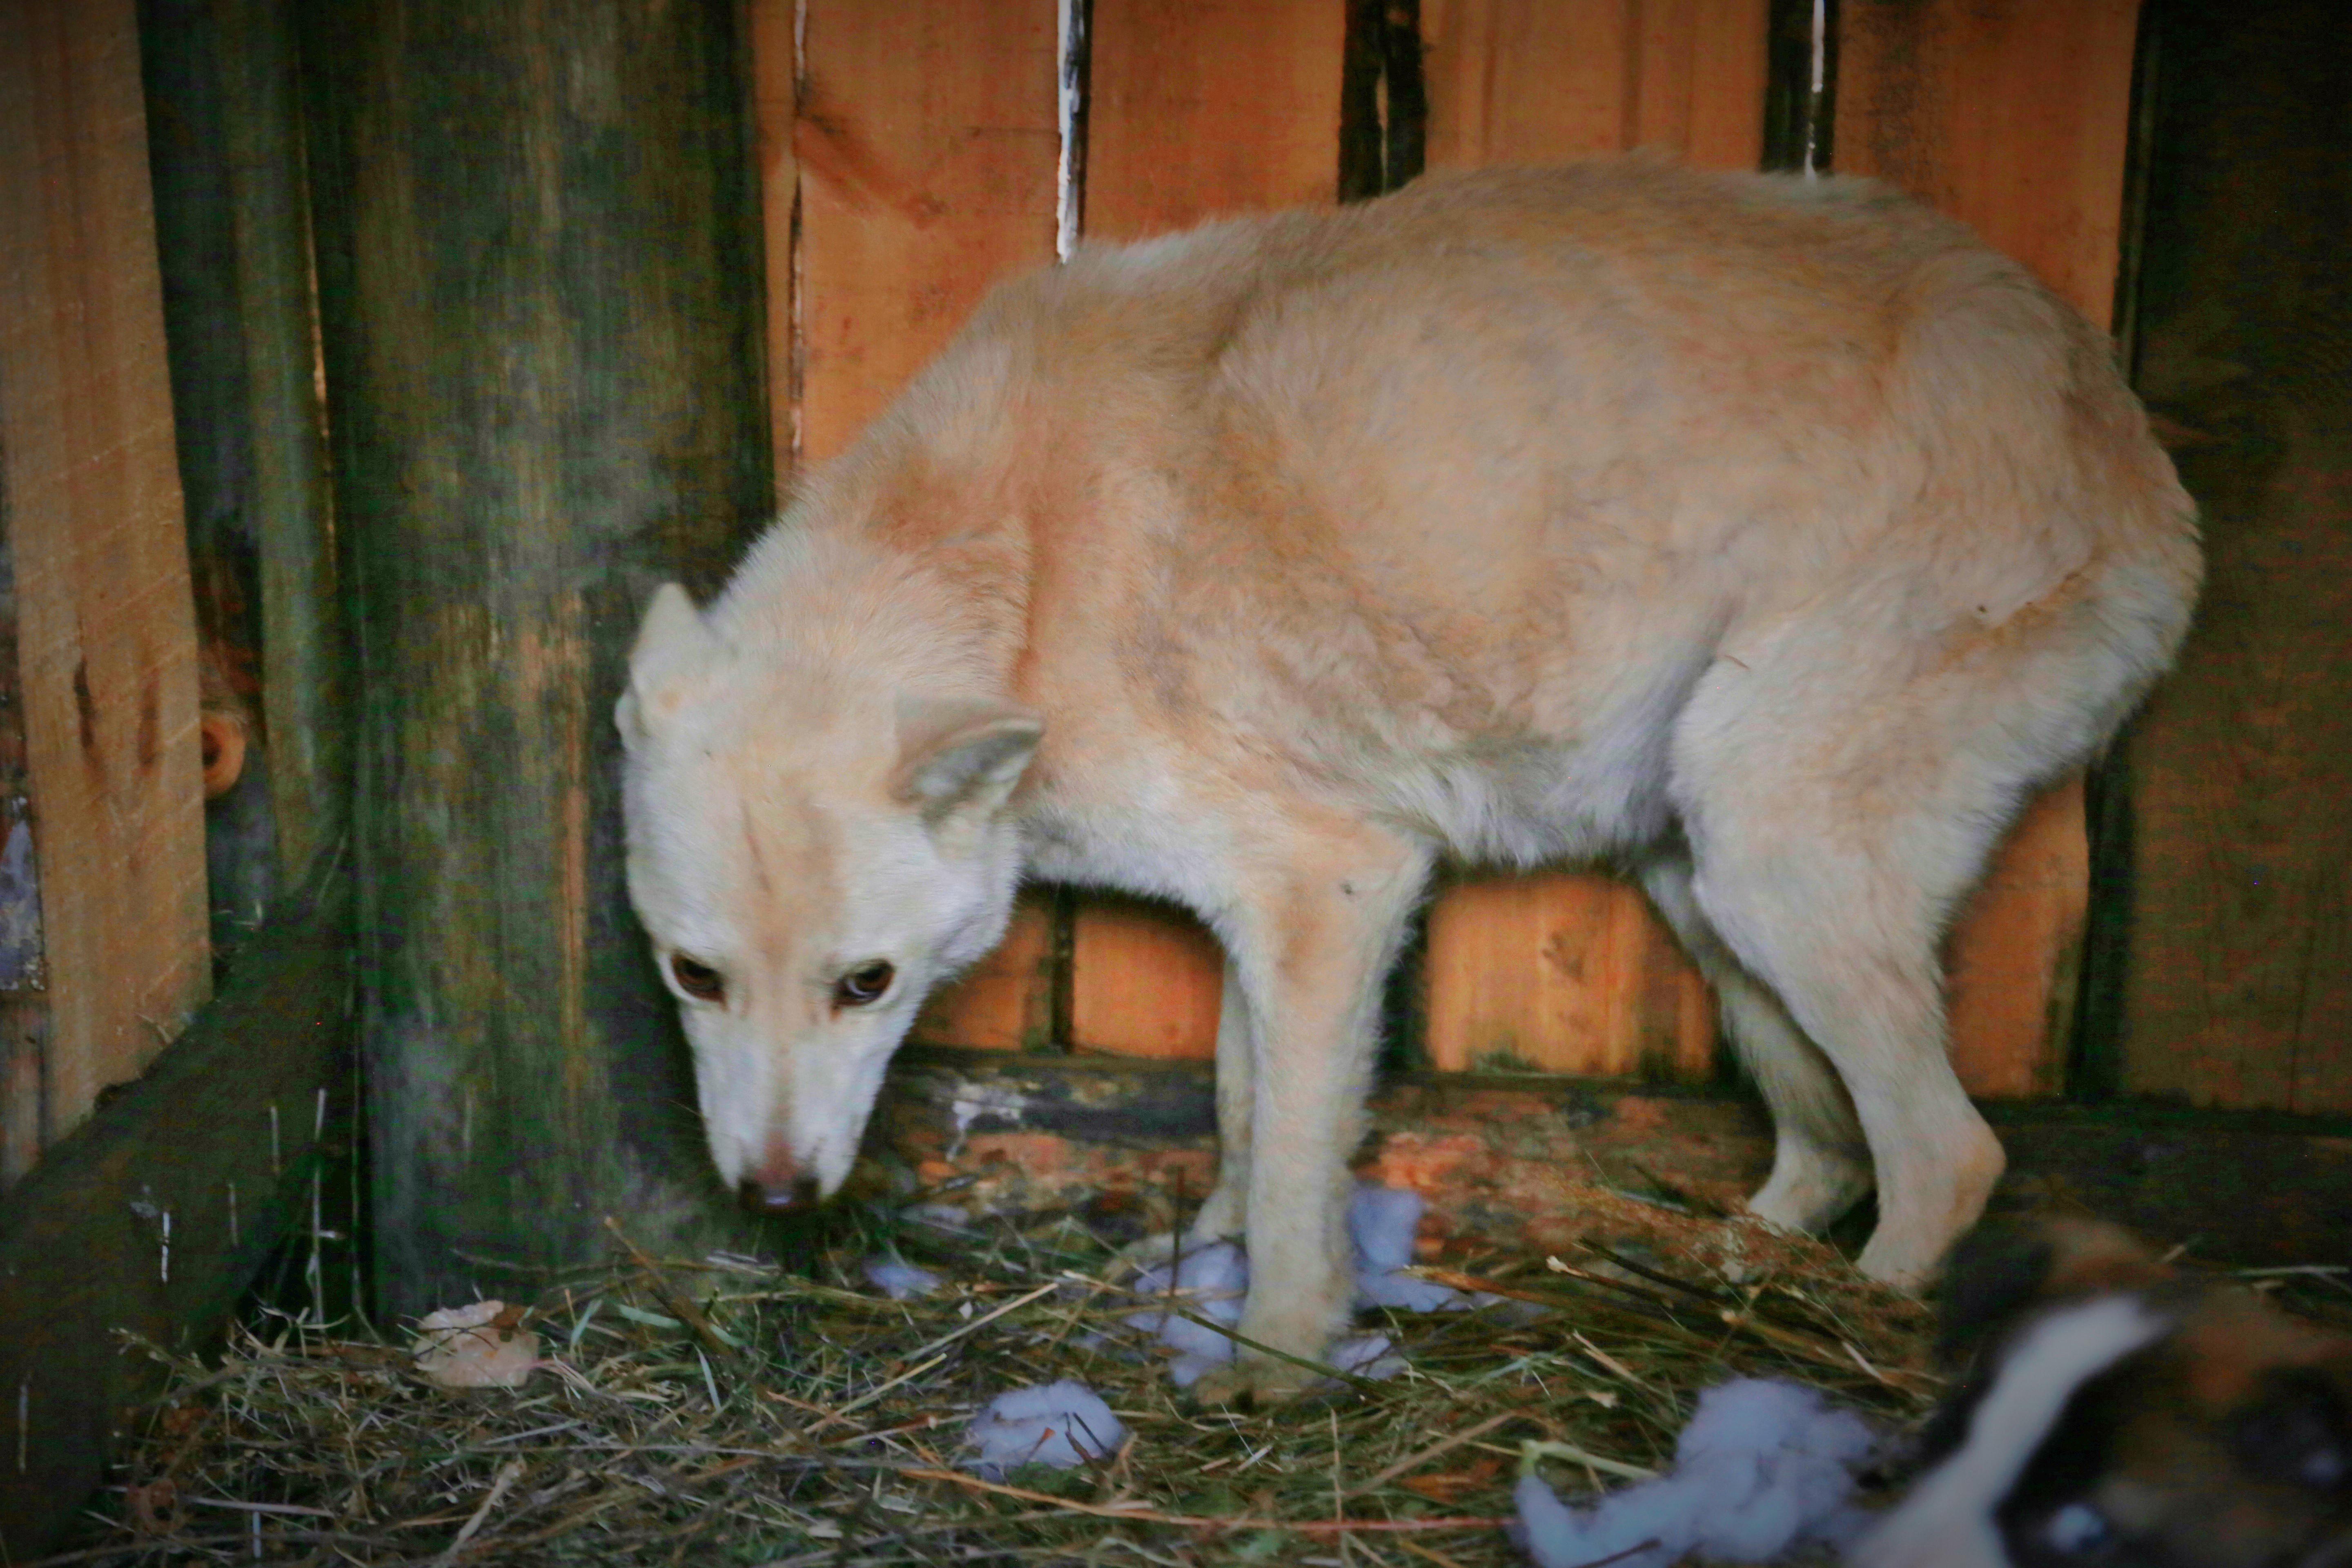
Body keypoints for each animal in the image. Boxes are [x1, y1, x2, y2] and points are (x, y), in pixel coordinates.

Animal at [616, 156, 2192, 1401]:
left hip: (1770, 861)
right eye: (695, 978)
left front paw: (1280, 1358)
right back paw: (1731, 1273)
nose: (771, 1194)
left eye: (866, 985)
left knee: (1948, 1155)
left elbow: (1303, 1166)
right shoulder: (1269, 911)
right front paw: (1208, 1266)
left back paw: (1852, 1344)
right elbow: (1247, 1113)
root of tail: (2129, 439)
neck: (1021, 567)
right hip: (1705, 879)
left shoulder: (1340, 887)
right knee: (1827, 1141)